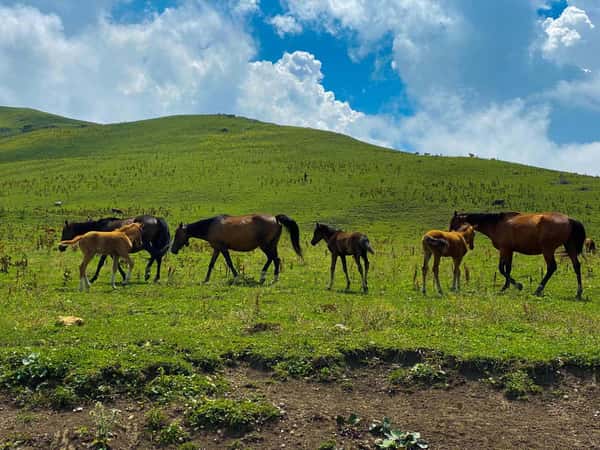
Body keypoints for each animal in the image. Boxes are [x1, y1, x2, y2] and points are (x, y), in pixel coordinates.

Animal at [171, 213, 302, 284]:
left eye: (177, 234)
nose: (172, 250)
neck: (210, 226)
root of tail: (275, 218)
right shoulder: (217, 249)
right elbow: (211, 264)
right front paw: (206, 279)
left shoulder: (223, 249)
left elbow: (229, 263)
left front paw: (236, 277)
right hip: (271, 245)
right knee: (274, 259)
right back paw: (267, 278)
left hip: (265, 246)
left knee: (274, 259)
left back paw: (270, 278)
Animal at [450, 212, 584, 302]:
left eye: (453, 222)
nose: (450, 233)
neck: (496, 224)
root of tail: (569, 219)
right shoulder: (508, 251)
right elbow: (507, 269)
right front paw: (507, 286)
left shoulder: (504, 250)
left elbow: (502, 269)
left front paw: (517, 285)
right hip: (569, 246)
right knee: (576, 266)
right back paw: (578, 293)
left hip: (548, 250)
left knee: (552, 267)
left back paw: (538, 289)